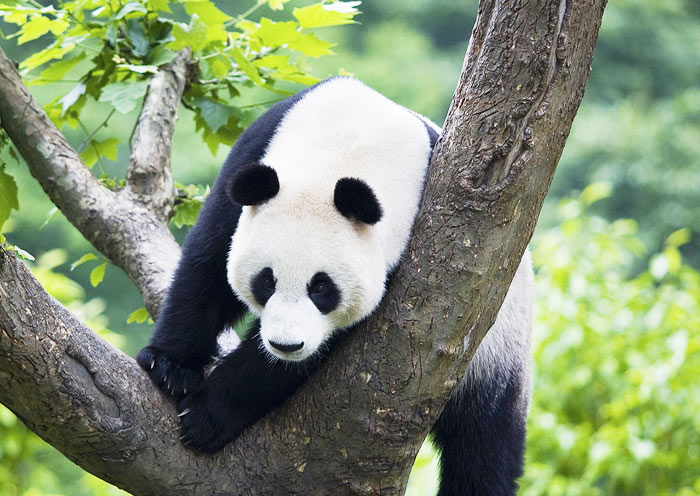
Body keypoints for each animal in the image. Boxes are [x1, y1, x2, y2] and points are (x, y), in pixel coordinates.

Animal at [137, 77, 533, 496]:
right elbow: (208, 266)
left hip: (496, 350)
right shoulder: (255, 153)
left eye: (322, 289)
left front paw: (205, 416)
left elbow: (310, 354)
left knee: (483, 445)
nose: (285, 345)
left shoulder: (409, 258)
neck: (341, 155)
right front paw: (170, 366)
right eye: (266, 281)